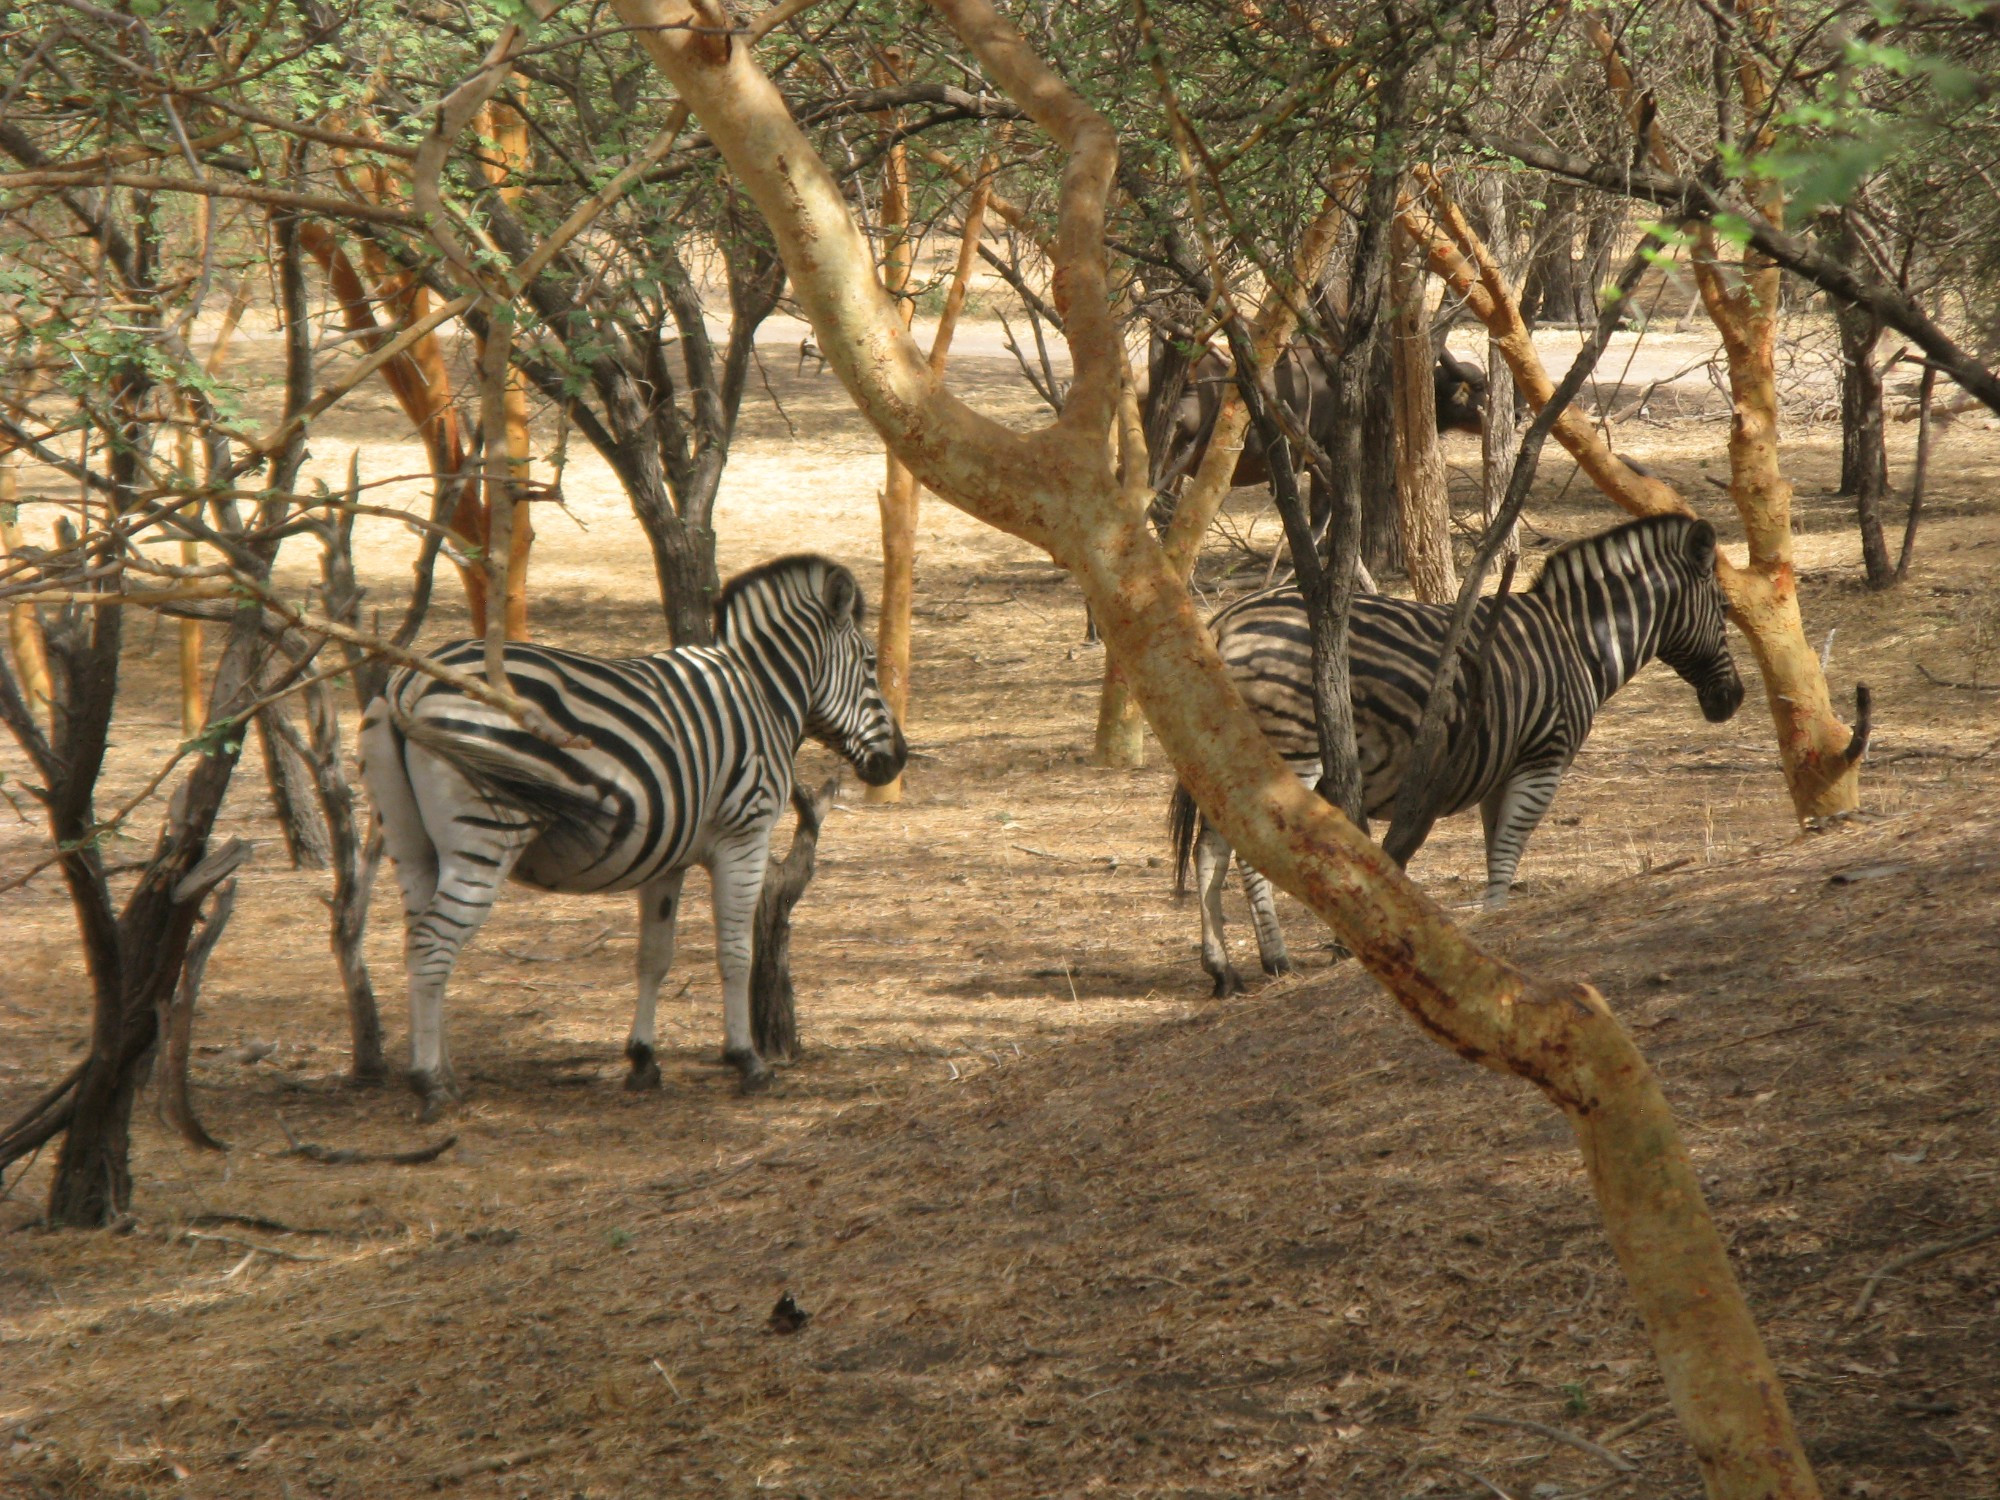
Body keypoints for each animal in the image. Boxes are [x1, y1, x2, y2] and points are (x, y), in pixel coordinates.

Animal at [360, 556, 908, 1120]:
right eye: (870, 663)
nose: (899, 760)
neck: (763, 692)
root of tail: (411, 680)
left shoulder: (666, 856)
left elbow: (654, 957)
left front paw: (643, 1059)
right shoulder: (745, 835)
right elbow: (735, 952)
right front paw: (746, 1060)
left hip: (410, 842)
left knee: (417, 940)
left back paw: (444, 1071)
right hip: (485, 836)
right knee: (433, 943)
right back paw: (429, 1083)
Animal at [1168, 516, 1744, 1000]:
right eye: (1721, 608)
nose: (1732, 700)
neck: (1576, 643)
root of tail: (1225, 622)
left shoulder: (1502, 767)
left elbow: (1496, 848)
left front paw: (1494, 916)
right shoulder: (1544, 758)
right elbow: (1510, 845)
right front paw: (1494, 927)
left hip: (1228, 750)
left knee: (1209, 850)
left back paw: (1222, 970)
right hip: (1291, 745)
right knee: (1247, 851)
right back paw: (1276, 958)